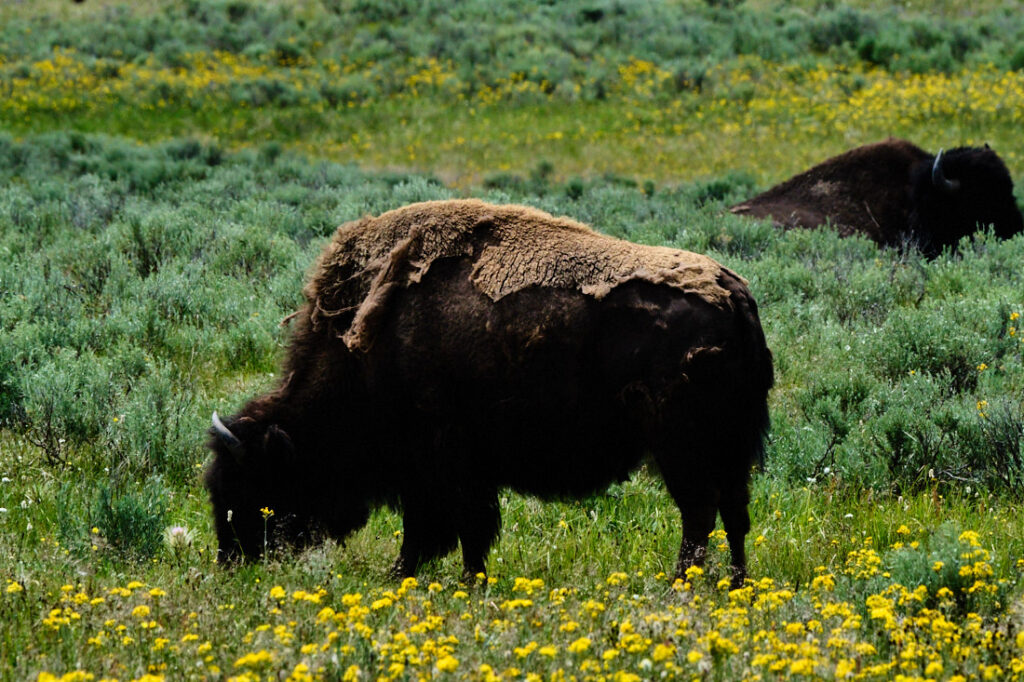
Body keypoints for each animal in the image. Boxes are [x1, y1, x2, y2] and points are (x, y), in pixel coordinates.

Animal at [205, 199, 773, 585]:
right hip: (728, 449)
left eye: (250, 488)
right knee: (733, 513)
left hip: (683, 449)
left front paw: (435, 579)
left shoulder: (442, 464)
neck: (365, 353)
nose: (232, 563)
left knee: (699, 514)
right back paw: (735, 585)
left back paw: (680, 585)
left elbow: (448, 527)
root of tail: (733, 292)